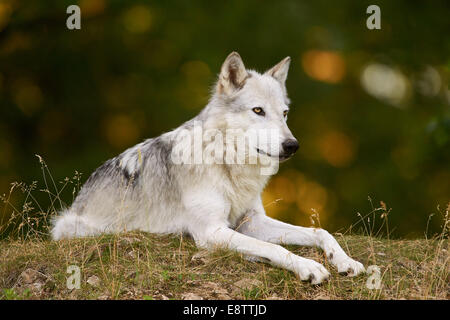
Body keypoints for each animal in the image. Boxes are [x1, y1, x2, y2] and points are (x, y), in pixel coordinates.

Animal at [51, 52, 364, 284]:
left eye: (284, 114)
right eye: (258, 111)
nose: (292, 145)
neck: (226, 163)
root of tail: (81, 196)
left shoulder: (251, 221)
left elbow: (320, 232)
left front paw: (345, 261)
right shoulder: (212, 231)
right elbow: (273, 247)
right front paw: (308, 267)